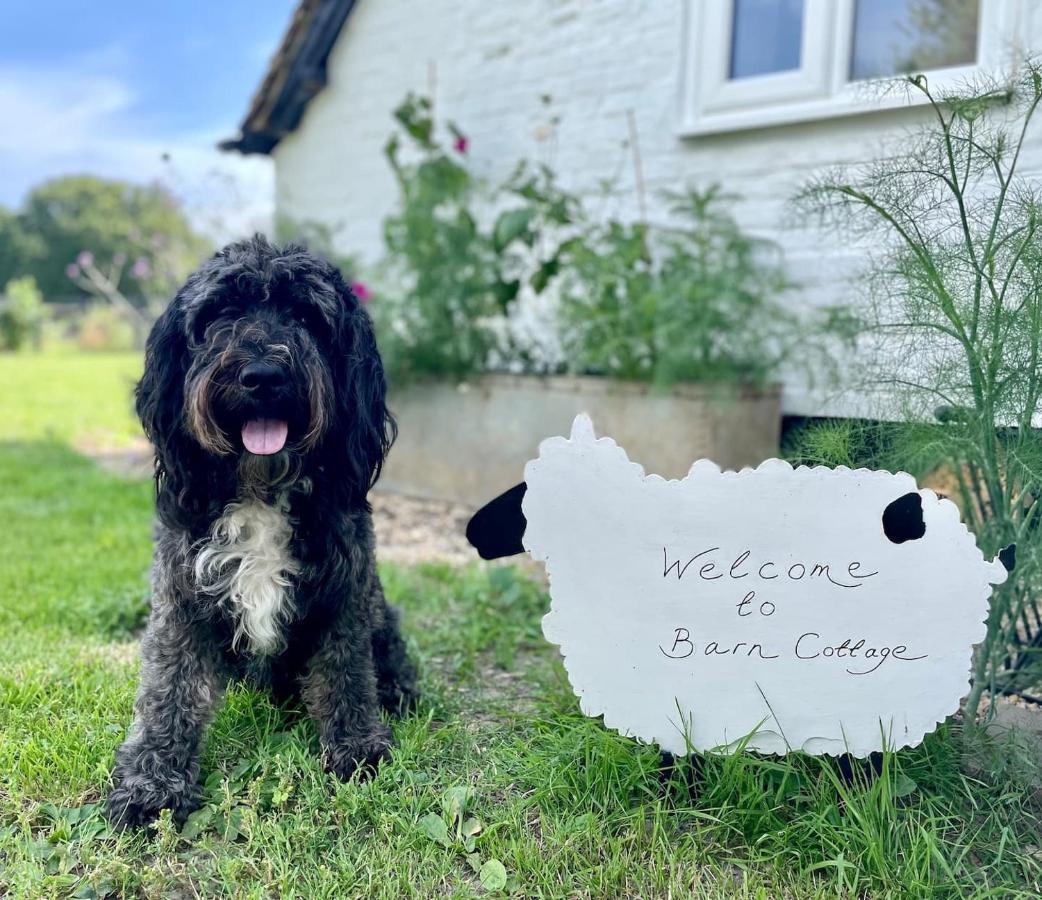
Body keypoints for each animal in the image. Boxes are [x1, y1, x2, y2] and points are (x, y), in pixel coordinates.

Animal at [105, 233, 414, 829]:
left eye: (306, 316)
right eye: (221, 312)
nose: (264, 376)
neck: (262, 489)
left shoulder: (344, 593)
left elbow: (345, 672)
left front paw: (357, 747)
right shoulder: (180, 597)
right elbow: (169, 689)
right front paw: (151, 783)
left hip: (379, 611)